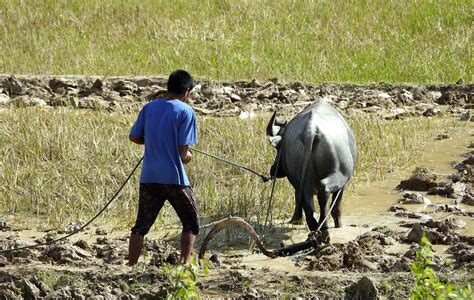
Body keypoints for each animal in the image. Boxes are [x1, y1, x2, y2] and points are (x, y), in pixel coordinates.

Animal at [266, 99, 356, 233]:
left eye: (278, 148)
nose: (273, 169)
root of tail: (311, 128)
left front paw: (295, 220)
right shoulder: (343, 185)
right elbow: (336, 205)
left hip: (302, 178)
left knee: (305, 200)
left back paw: (314, 227)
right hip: (340, 174)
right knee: (324, 191)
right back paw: (323, 226)